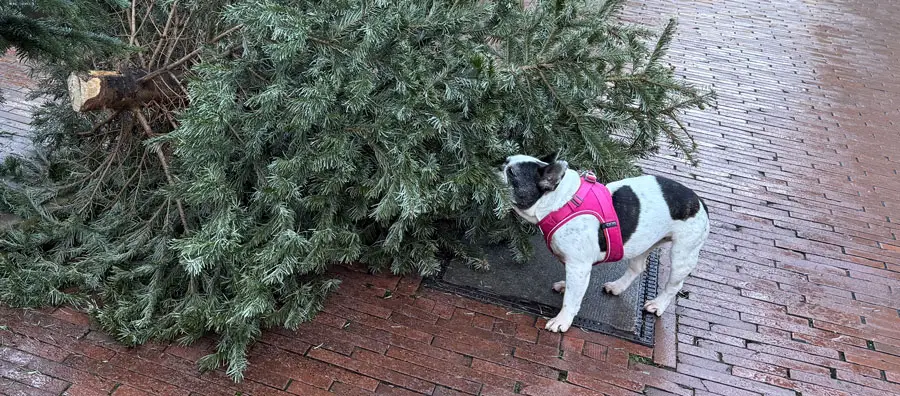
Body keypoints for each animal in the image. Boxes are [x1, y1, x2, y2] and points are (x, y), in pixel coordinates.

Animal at [500, 153, 712, 332]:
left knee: (674, 284)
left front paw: (562, 321)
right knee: (637, 267)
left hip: (683, 254)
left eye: (512, 173)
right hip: (644, 243)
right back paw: (617, 287)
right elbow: (573, 288)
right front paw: (566, 286)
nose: (498, 165)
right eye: (506, 162)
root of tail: (700, 201)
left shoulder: (578, 266)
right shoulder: (577, 266)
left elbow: (571, 299)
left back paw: (657, 304)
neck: (561, 202)